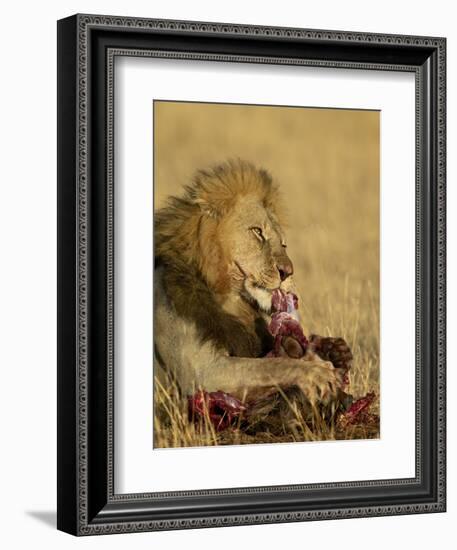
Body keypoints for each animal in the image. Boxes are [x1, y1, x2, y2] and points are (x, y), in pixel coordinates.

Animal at [155, 160, 350, 414]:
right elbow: (272, 366)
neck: (229, 298)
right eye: (258, 232)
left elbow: (270, 360)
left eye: (283, 243)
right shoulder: (204, 373)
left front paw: (330, 350)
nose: (288, 272)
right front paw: (319, 373)